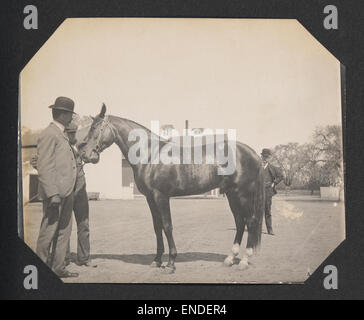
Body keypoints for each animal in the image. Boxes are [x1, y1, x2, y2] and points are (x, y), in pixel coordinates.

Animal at [79, 104, 264, 272]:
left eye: (95, 128)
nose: (85, 154)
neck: (150, 154)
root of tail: (253, 154)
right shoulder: (150, 198)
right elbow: (157, 227)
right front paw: (156, 260)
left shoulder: (161, 196)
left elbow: (167, 226)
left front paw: (170, 263)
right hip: (233, 195)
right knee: (240, 222)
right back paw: (230, 258)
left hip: (243, 194)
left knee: (250, 221)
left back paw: (244, 261)